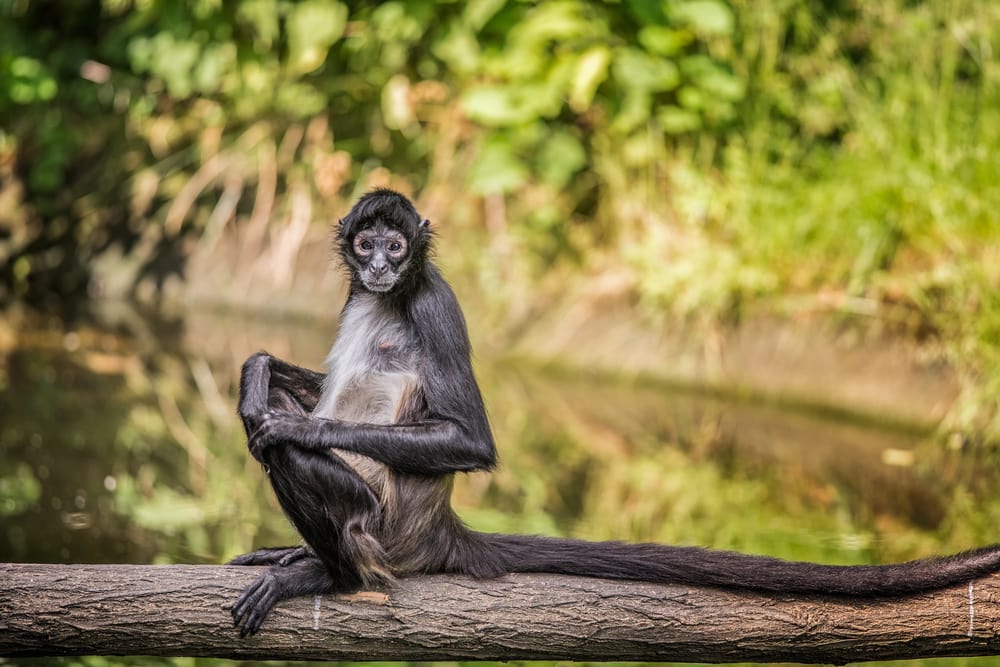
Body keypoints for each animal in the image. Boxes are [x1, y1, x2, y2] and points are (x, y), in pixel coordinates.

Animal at [228, 187, 1000, 637]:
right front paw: (255, 369)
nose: (381, 265)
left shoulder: (434, 299)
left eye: (397, 243)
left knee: (285, 456)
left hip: (379, 526)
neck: (389, 295)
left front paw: (294, 421)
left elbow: (469, 440)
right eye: (366, 243)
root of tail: (434, 530)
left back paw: (329, 572)